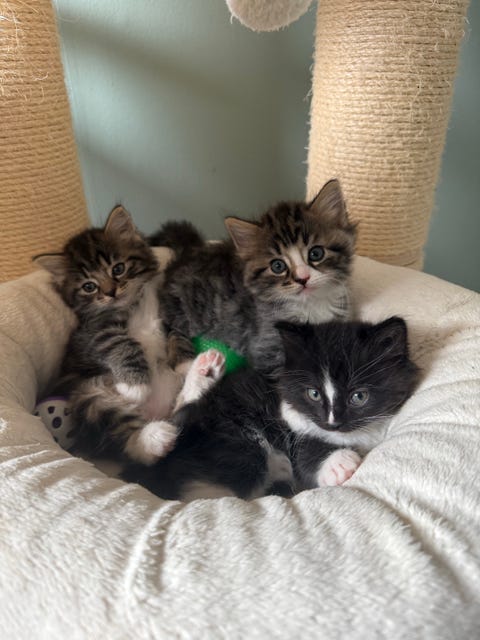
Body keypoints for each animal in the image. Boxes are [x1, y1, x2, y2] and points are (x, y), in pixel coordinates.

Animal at [34, 206, 189, 464]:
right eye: (89, 286)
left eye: (118, 269)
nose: (110, 292)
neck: (133, 303)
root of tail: (157, 412)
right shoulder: (92, 333)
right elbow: (123, 342)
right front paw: (136, 386)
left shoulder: (168, 308)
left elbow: (179, 331)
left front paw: (185, 362)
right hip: (89, 396)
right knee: (128, 441)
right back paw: (154, 436)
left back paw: (204, 367)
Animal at [122, 316, 419, 501]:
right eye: (313, 394)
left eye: (359, 396)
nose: (333, 423)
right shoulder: (289, 418)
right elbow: (304, 449)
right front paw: (338, 463)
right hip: (239, 447)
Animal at [150, 179, 357, 374]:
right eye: (278, 266)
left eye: (316, 253)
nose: (302, 279)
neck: (311, 306)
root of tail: (189, 251)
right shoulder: (266, 346)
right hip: (184, 309)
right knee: (170, 329)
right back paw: (186, 364)